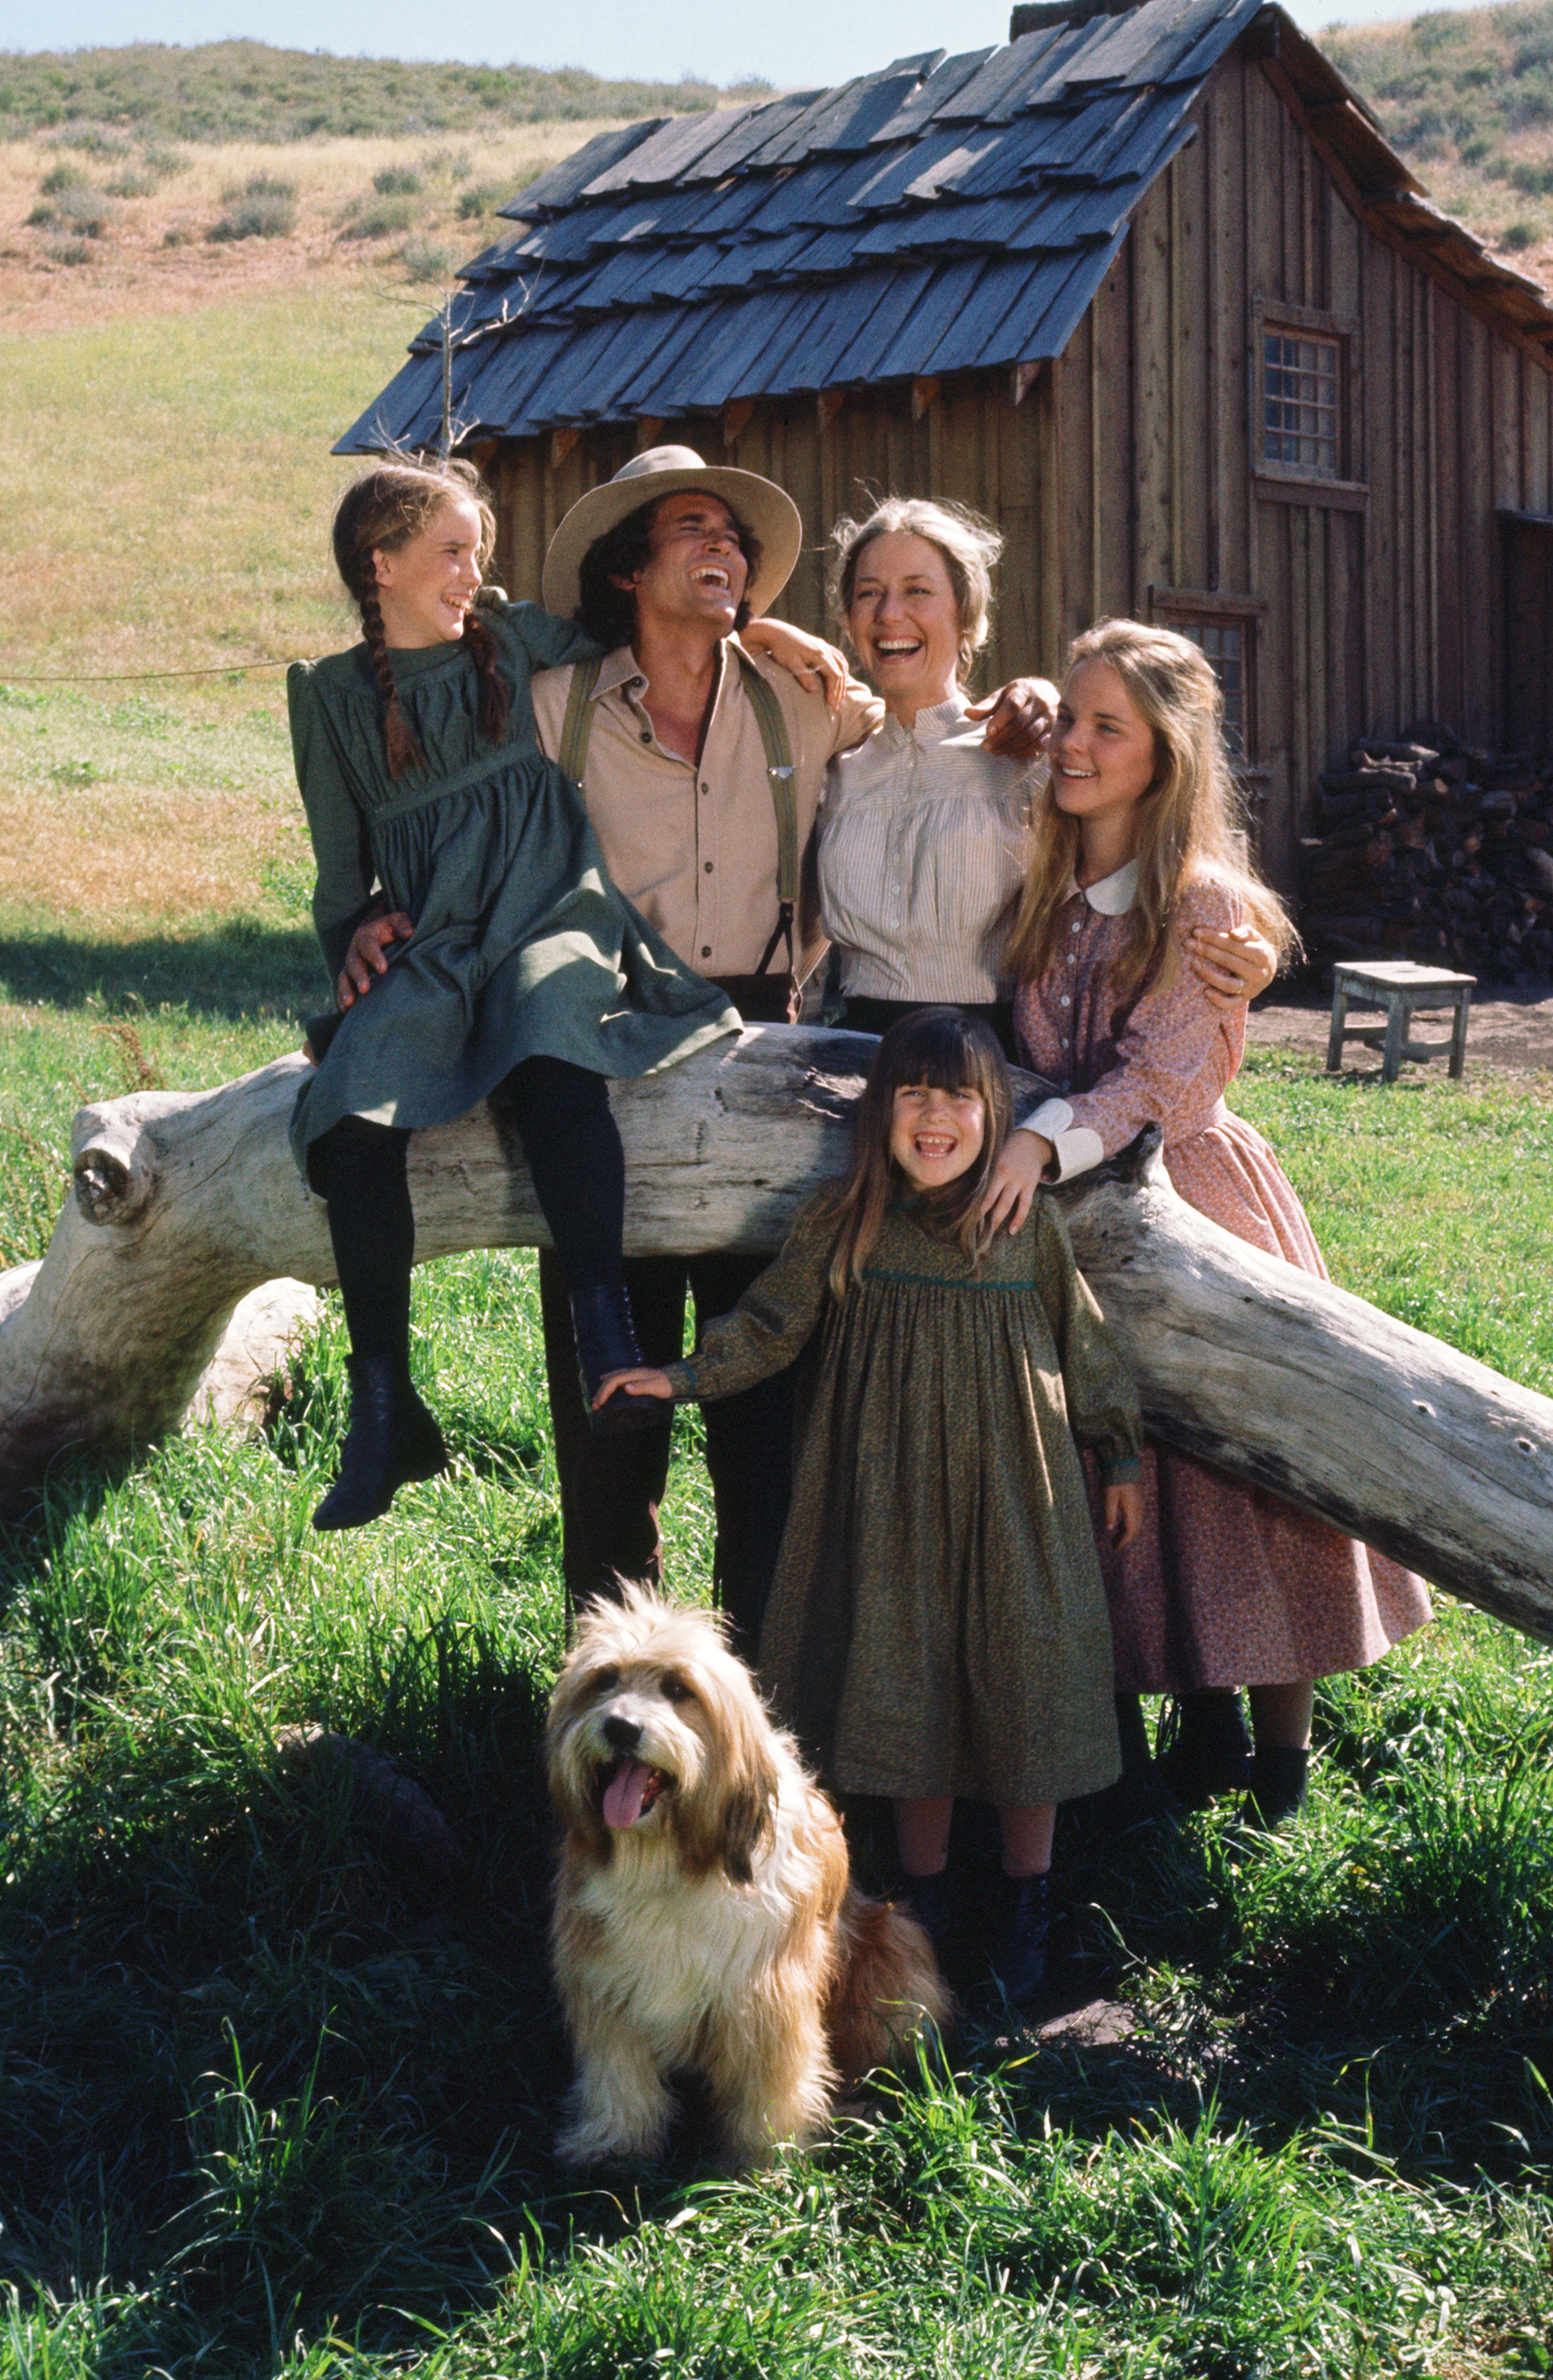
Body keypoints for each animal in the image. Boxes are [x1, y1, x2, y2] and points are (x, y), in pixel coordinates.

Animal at [545, 1590, 948, 2171]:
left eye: (676, 1689)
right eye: (605, 1681)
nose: (620, 1728)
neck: (671, 1862)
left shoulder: (766, 1999)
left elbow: (771, 2087)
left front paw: (765, 2161)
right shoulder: (607, 1985)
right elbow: (617, 2074)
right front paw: (614, 2144)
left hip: (894, 1956)